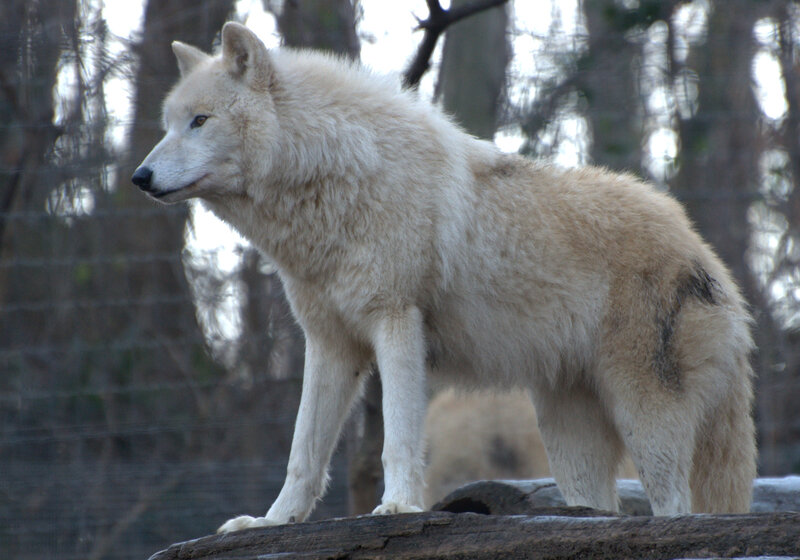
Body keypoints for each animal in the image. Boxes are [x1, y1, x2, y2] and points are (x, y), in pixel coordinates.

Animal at [132, 22, 757, 531]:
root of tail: (704, 252)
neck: (340, 177)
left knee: (676, 509)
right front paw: (270, 522)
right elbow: (302, 453)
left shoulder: (396, 320)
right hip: (567, 430)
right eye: (168, 125)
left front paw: (397, 507)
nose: (139, 176)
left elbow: (398, 439)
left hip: (645, 417)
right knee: (600, 506)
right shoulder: (330, 343)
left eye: (200, 121)